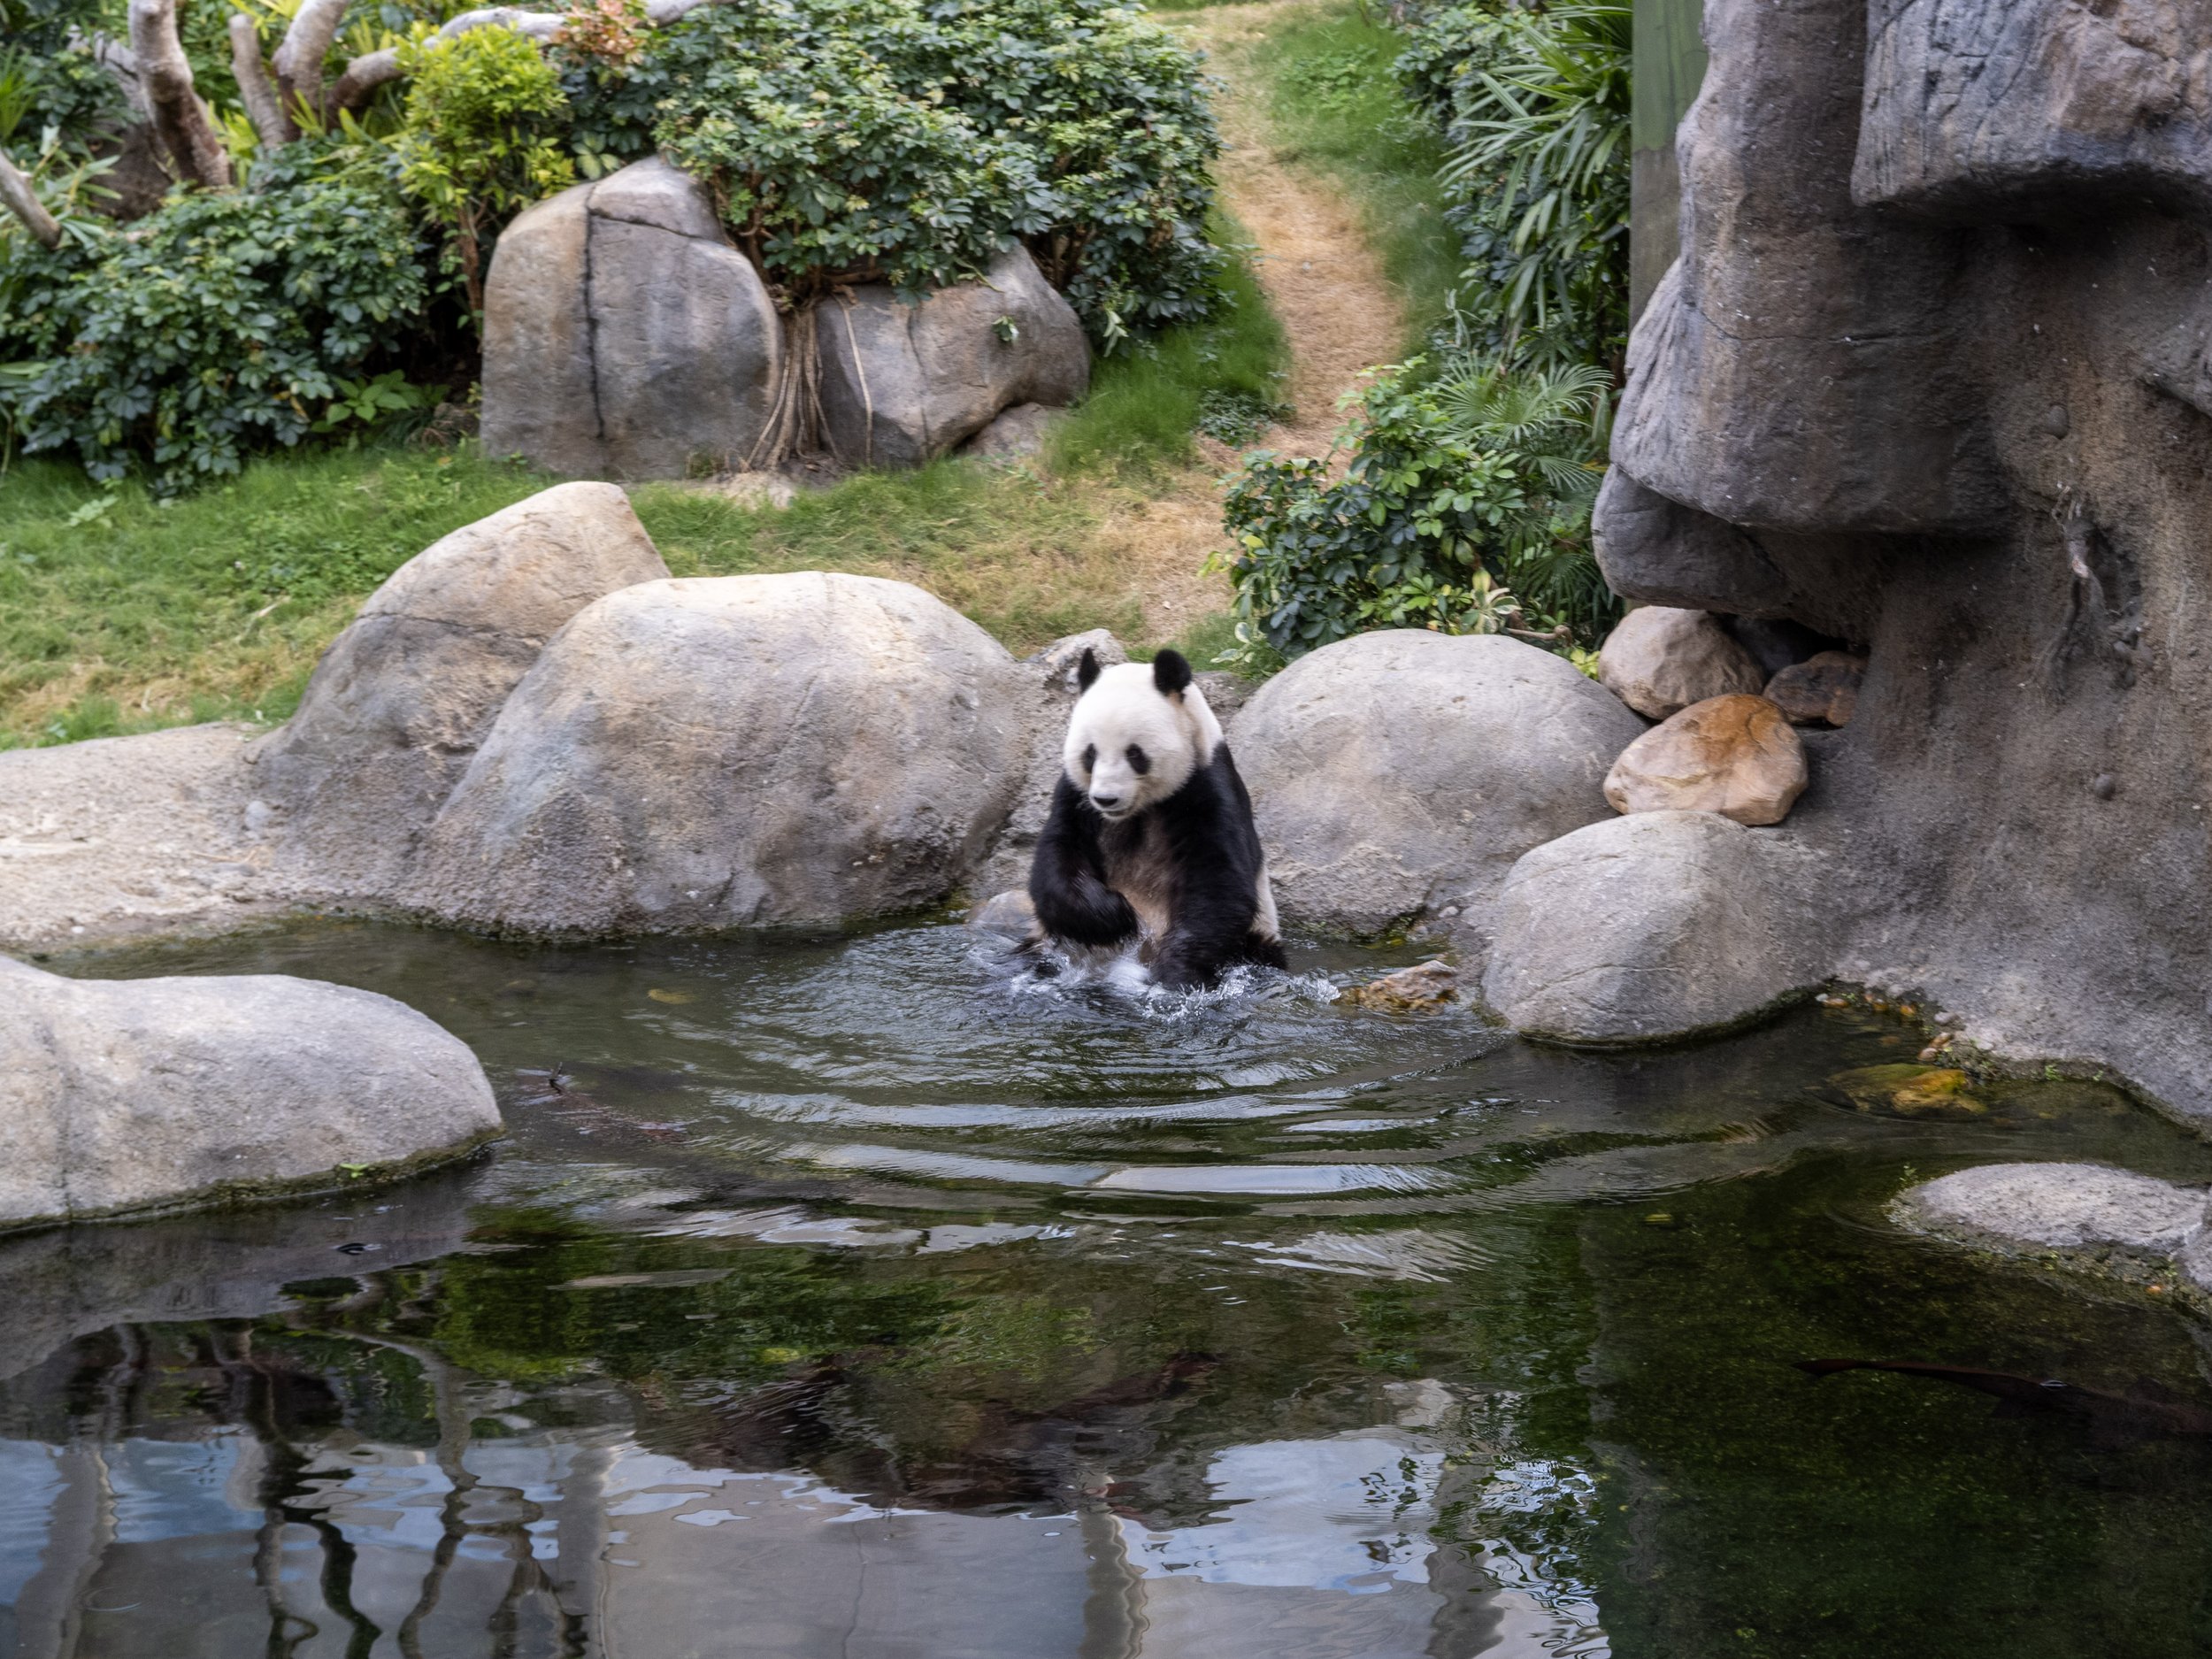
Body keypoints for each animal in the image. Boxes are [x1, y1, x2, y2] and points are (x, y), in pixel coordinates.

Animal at [1027, 647, 1286, 989]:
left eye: (1134, 753)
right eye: (1090, 753)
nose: (1106, 799)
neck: (1137, 810)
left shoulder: (1206, 787)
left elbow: (1220, 884)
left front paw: (1176, 971)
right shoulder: (1075, 797)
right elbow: (1057, 854)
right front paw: (1115, 916)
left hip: (1257, 941)